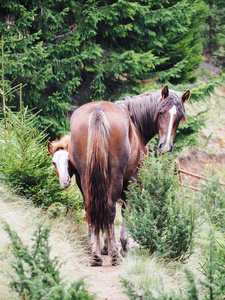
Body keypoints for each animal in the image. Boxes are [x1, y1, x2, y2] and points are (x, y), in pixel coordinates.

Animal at [47, 85, 190, 266]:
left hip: (86, 177)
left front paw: (104, 246)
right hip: (116, 176)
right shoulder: (133, 180)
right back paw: (114, 254)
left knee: (91, 206)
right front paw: (122, 246)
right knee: (110, 208)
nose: (165, 147)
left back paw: (96, 254)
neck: (135, 123)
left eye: (179, 118)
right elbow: (125, 210)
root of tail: (97, 111)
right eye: (161, 112)